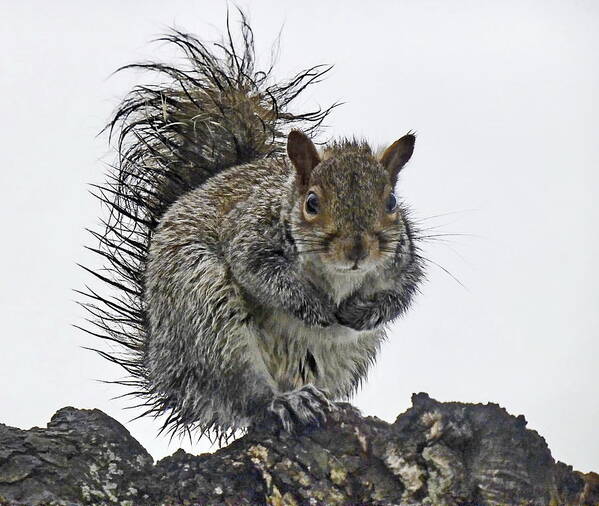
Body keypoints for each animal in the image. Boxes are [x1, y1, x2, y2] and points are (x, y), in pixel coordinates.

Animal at [82, 13, 424, 436]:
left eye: (392, 202)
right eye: (312, 203)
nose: (357, 250)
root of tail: (165, 367)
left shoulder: (404, 261)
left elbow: (401, 294)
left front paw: (365, 313)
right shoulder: (249, 233)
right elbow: (263, 274)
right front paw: (313, 308)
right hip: (209, 319)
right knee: (246, 396)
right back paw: (285, 402)